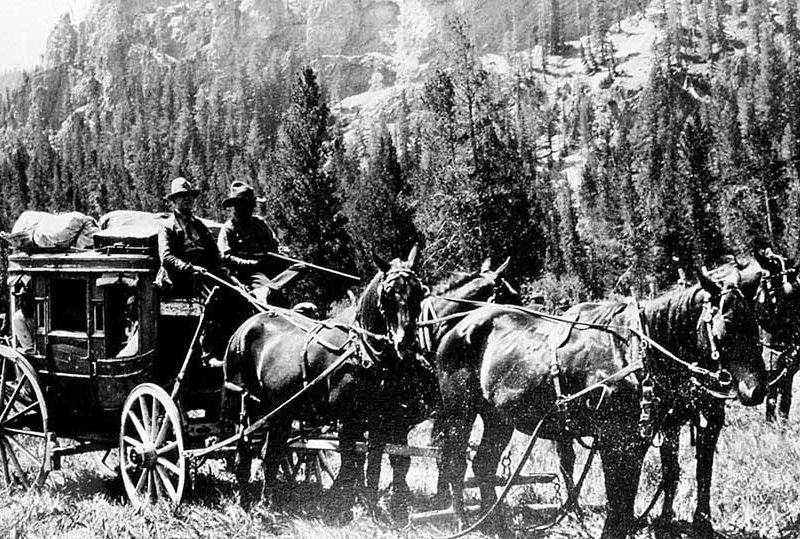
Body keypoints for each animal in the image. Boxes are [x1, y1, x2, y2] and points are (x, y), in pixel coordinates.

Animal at [219, 247, 424, 504]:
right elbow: (350, 465)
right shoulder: (348, 419)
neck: (360, 350)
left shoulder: (380, 420)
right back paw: (245, 500)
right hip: (246, 405)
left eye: (419, 292)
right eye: (388, 294)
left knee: (272, 451)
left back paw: (269, 500)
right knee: (243, 452)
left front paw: (372, 507)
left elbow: (374, 465)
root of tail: (242, 328)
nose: (405, 342)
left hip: (279, 410)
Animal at [434, 266, 764, 539]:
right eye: (725, 327)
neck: (636, 353)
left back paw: (497, 526)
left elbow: (627, 499)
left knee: (483, 465)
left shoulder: (637, 440)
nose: (756, 390)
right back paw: (463, 521)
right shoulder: (612, 440)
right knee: (453, 463)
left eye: (755, 324)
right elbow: (617, 500)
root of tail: (455, 327)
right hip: (460, 413)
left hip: (498, 419)